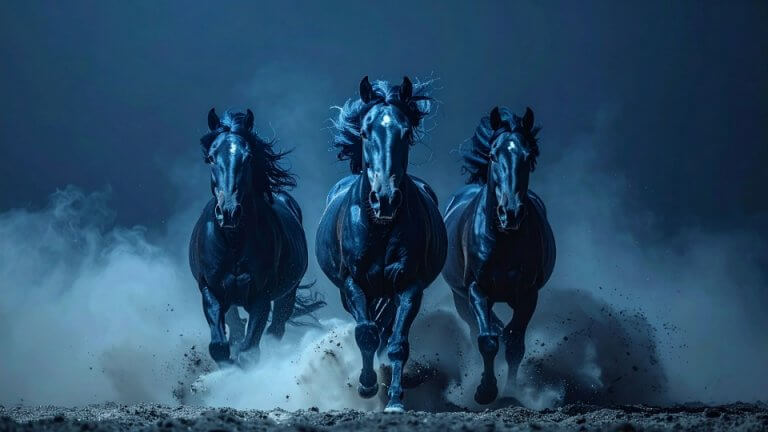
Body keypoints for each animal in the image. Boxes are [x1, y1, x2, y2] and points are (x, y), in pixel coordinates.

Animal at [189, 109, 324, 367]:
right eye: (210, 158)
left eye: (248, 157)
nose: (229, 212)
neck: (234, 243)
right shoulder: (211, 290)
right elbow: (220, 347)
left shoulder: (262, 296)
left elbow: (249, 350)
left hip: (287, 295)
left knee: (275, 329)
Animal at [315, 76, 447, 412]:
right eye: (365, 131)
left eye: (406, 132)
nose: (385, 198)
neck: (379, 228)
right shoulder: (352, 282)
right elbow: (365, 333)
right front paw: (366, 385)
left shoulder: (409, 285)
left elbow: (397, 342)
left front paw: (395, 400)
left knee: (386, 331)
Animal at [442, 106, 555, 404]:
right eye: (494, 155)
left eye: (528, 156)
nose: (510, 212)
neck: (503, 239)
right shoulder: (476, 290)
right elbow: (487, 340)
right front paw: (485, 390)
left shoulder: (528, 294)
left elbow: (514, 345)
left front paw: (510, 392)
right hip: (461, 298)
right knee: (477, 330)